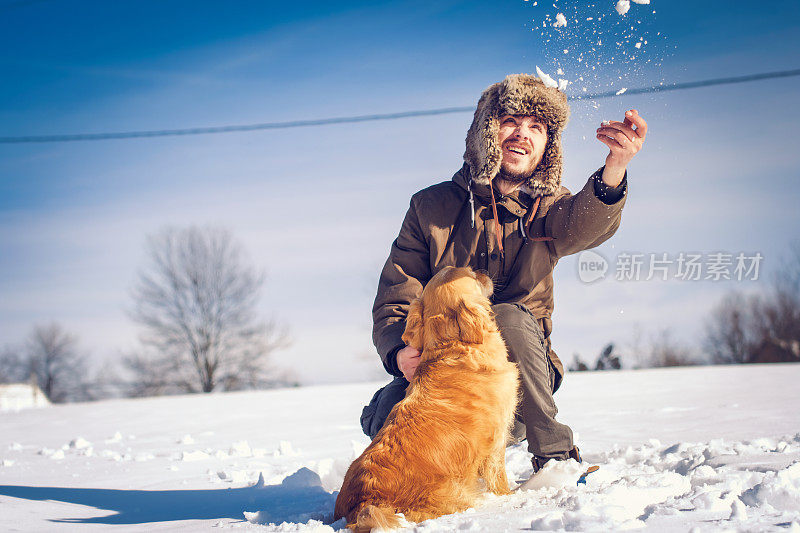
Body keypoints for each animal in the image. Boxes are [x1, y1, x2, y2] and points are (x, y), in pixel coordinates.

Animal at [332, 268, 516, 528]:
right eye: (471, 273)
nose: (484, 271)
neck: (453, 346)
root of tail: (362, 503)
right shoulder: (497, 439)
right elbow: (499, 478)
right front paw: (512, 495)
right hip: (455, 493)